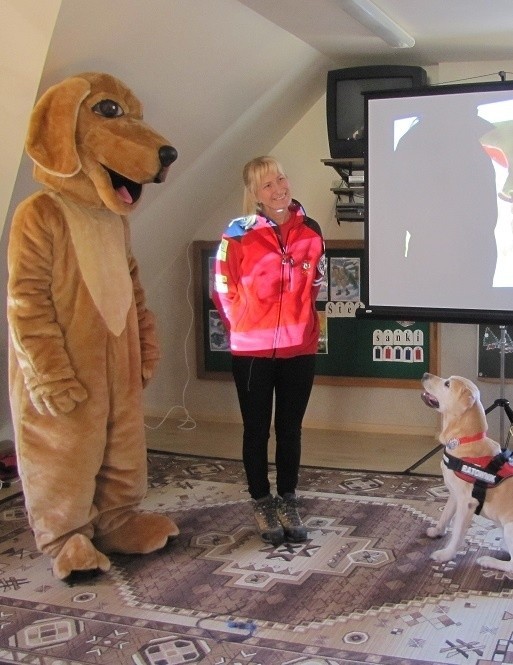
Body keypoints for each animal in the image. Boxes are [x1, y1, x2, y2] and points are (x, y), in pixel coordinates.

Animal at [420, 374, 512, 572]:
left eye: (447, 384)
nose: (424, 375)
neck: (463, 440)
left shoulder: (467, 503)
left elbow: (457, 533)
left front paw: (445, 555)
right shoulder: (453, 494)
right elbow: (445, 515)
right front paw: (437, 531)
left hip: (510, 528)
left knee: (512, 566)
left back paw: (487, 560)